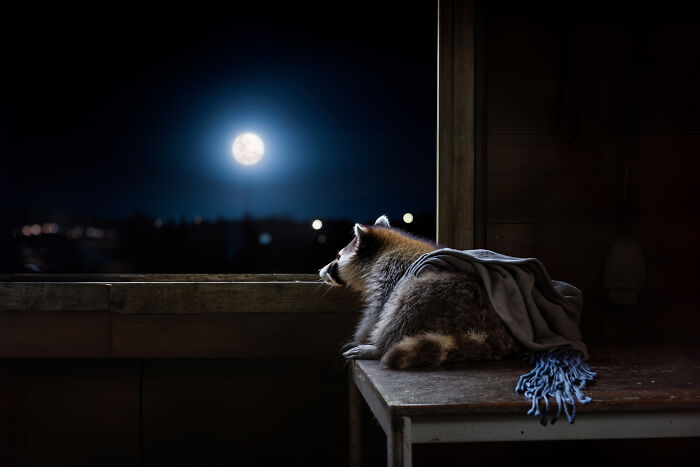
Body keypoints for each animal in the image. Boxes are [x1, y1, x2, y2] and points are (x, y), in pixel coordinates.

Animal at [319, 215, 520, 368]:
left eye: (337, 257)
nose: (320, 270)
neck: (387, 247)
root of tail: (495, 332)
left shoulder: (391, 272)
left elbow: (378, 311)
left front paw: (363, 338)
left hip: (438, 294)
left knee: (402, 308)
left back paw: (380, 348)